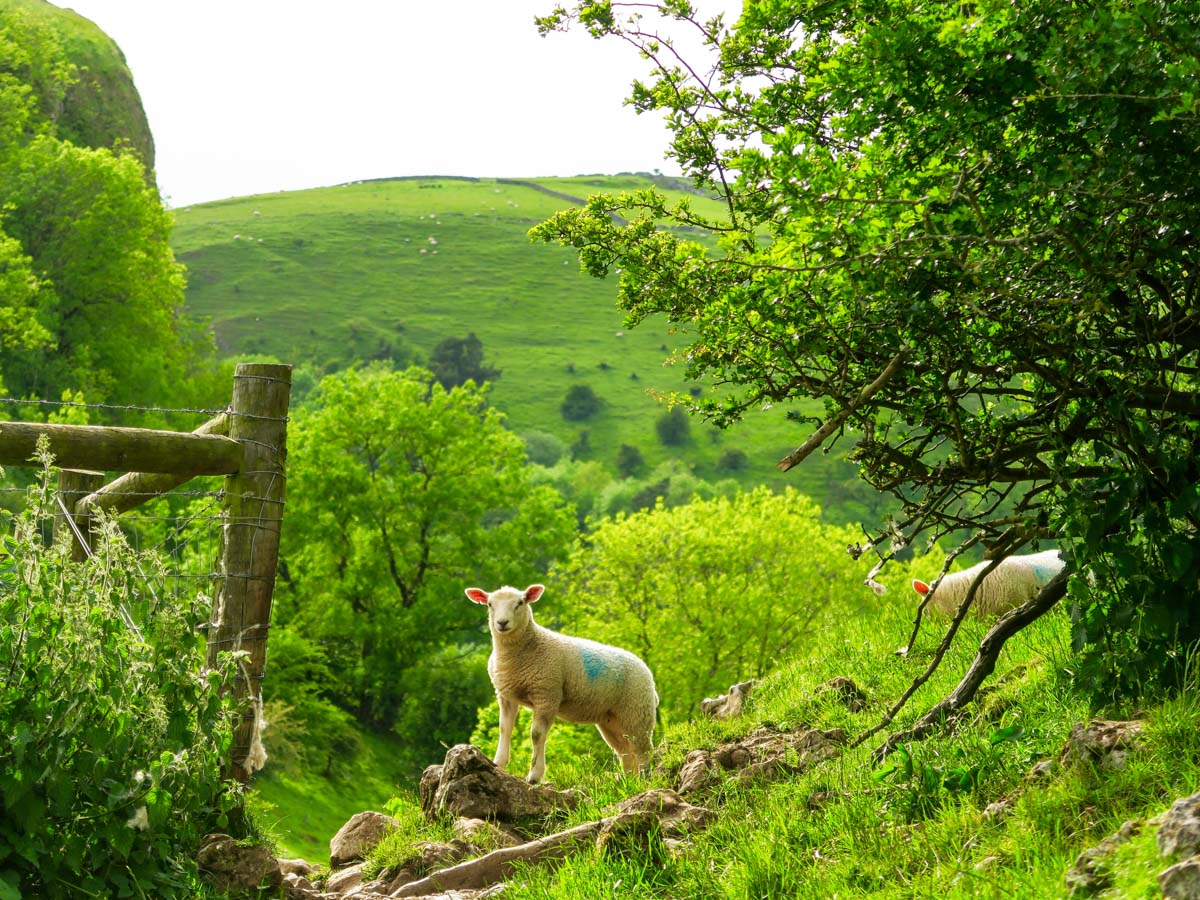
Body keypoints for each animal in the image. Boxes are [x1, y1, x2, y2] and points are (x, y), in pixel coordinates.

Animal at [465, 588, 657, 787]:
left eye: (520, 603)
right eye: (489, 604)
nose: (502, 623)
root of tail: (647, 673)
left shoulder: (547, 694)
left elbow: (537, 734)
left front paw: (534, 776)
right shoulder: (506, 695)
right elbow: (504, 729)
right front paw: (498, 764)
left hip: (637, 711)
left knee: (642, 750)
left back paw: (643, 779)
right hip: (611, 718)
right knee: (625, 750)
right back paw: (629, 780)